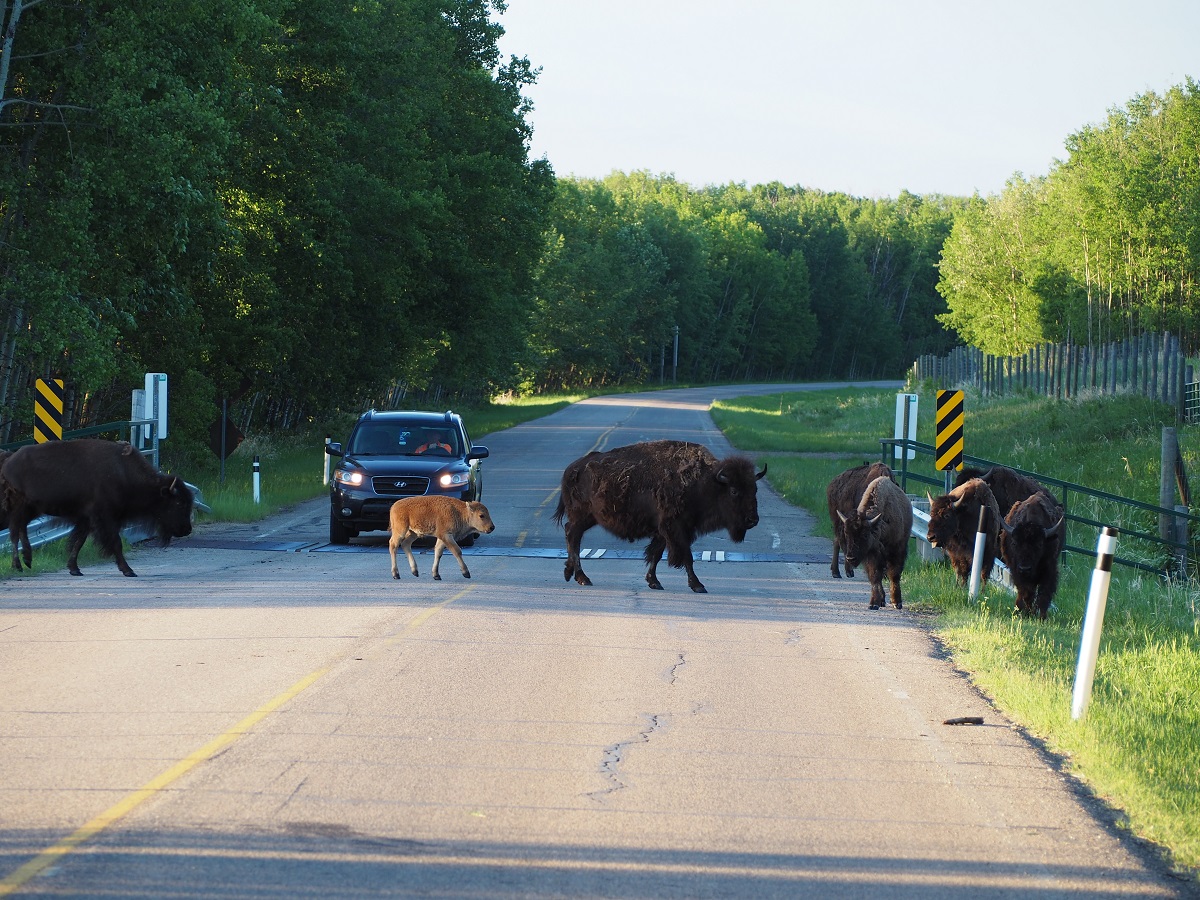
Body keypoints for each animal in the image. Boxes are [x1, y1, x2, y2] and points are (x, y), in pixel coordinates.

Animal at [3, 439, 194, 577]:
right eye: (179, 503)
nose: (187, 529)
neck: (123, 473)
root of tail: (9, 461)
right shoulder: (104, 518)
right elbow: (115, 543)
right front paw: (128, 570)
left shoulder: (87, 520)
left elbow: (78, 542)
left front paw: (74, 569)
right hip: (20, 507)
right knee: (14, 532)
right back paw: (18, 565)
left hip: (33, 509)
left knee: (21, 529)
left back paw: (27, 560)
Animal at [552, 439, 766, 593]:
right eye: (734, 491)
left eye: (754, 489)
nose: (753, 520)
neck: (707, 482)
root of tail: (572, 469)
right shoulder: (676, 529)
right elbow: (686, 557)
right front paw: (698, 585)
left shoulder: (665, 530)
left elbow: (656, 554)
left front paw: (654, 582)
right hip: (582, 516)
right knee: (573, 536)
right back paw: (582, 578)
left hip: (588, 518)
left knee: (572, 535)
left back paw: (571, 573)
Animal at [837, 475, 912, 610]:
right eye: (846, 534)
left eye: (865, 534)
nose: (850, 558)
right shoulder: (871, 555)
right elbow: (875, 577)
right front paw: (874, 603)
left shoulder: (896, 550)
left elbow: (894, 575)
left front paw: (897, 602)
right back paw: (881, 601)